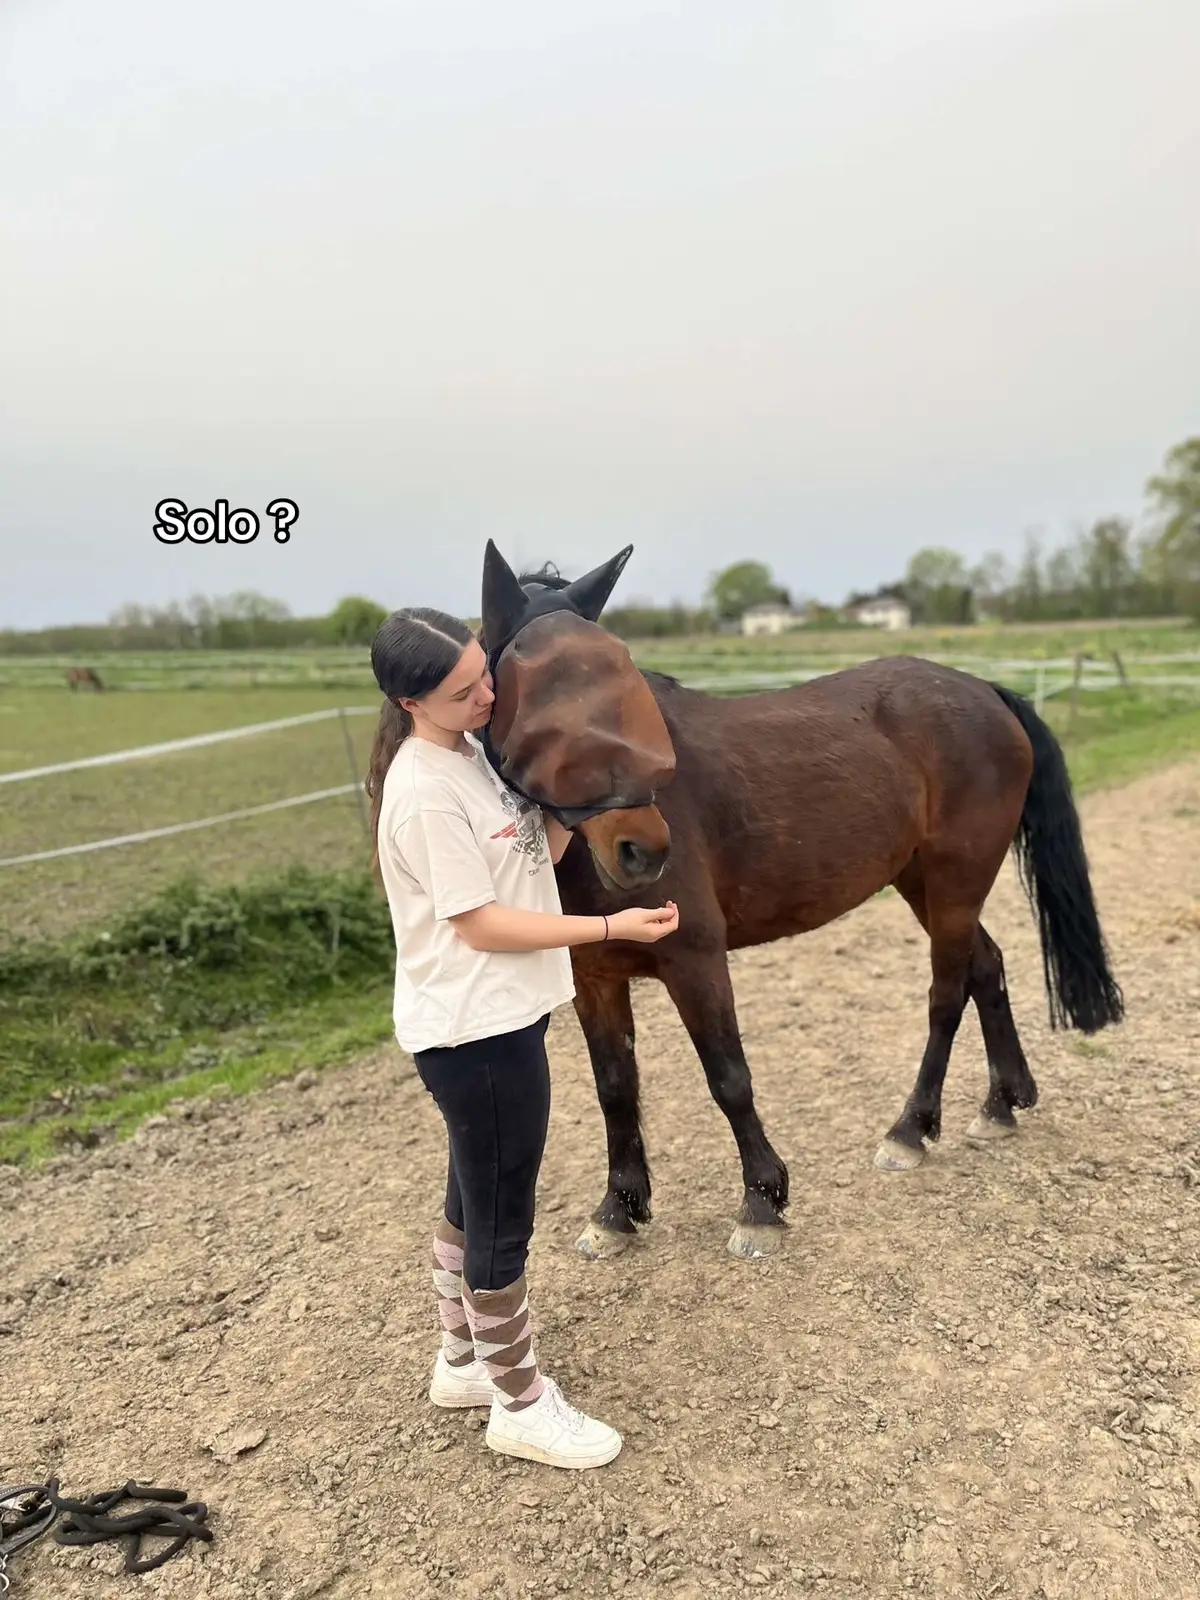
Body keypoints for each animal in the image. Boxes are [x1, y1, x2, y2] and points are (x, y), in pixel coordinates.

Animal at [366, 547, 1126, 1260]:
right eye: (541, 700)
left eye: (626, 674)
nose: (642, 848)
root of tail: (986, 693)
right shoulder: (595, 978)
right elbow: (616, 1087)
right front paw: (618, 1210)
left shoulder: (696, 959)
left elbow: (728, 1076)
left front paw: (762, 1201)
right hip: (926, 883)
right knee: (984, 968)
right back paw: (1002, 1103)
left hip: (955, 880)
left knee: (947, 992)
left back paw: (910, 1130)